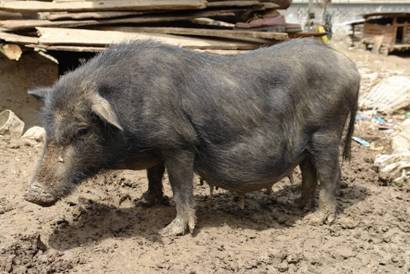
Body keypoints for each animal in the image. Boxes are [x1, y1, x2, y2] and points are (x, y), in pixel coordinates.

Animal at [24, 38, 358, 235]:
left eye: (82, 130)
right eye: (47, 128)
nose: (32, 195)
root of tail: (350, 67)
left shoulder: (179, 144)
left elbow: (180, 185)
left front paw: (171, 231)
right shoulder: (158, 148)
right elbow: (153, 174)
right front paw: (145, 203)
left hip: (327, 130)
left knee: (331, 173)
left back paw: (318, 220)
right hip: (308, 142)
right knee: (309, 171)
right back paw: (297, 207)